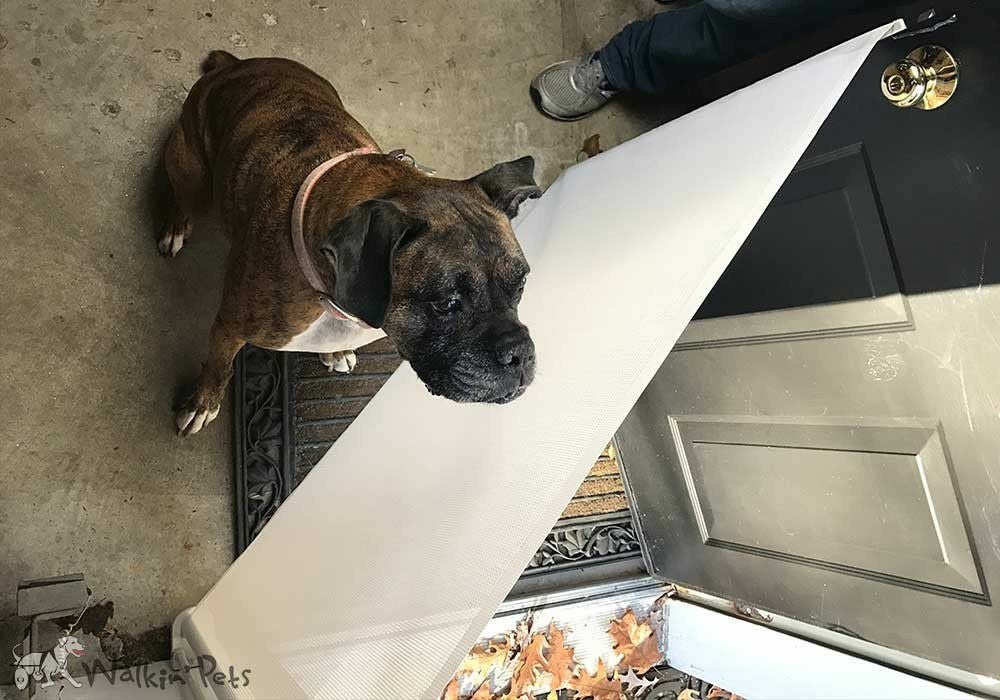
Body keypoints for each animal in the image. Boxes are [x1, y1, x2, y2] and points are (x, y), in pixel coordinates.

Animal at [161, 51, 540, 435]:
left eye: (521, 286)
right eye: (446, 304)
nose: (519, 353)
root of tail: (234, 64)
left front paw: (335, 351)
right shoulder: (229, 329)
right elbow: (218, 368)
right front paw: (201, 404)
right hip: (191, 173)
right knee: (183, 199)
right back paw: (175, 228)